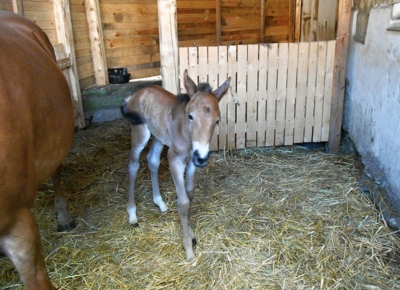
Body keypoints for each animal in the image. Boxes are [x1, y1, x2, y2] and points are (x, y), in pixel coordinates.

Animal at [120, 69, 230, 262]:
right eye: (190, 115)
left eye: (217, 120)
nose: (202, 158)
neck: (185, 133)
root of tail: (134, 95)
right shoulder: (175, 159)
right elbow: (183, 202)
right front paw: (189, 250)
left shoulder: (192, 161)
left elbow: (190, 194)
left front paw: (192, 235)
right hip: (140, 133)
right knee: (133, 166)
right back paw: (132, 214)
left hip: (158, 137)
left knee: (152, 160)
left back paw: (160, 203)